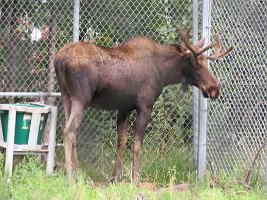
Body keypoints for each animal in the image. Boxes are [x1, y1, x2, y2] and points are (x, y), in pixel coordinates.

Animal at [54, 30, 234, 184]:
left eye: (206, 62)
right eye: (196, 63)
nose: (214, 89)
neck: (164, 73)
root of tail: (58, 60)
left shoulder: (124, 107)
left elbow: (121, 141)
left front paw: (115, 178)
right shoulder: (145, 106)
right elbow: (137, 145)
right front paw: (135, 179)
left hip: (66, 97)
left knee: (71, 132)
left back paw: (79, 173)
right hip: (81, 98)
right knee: (69, 131)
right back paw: (71, 176)